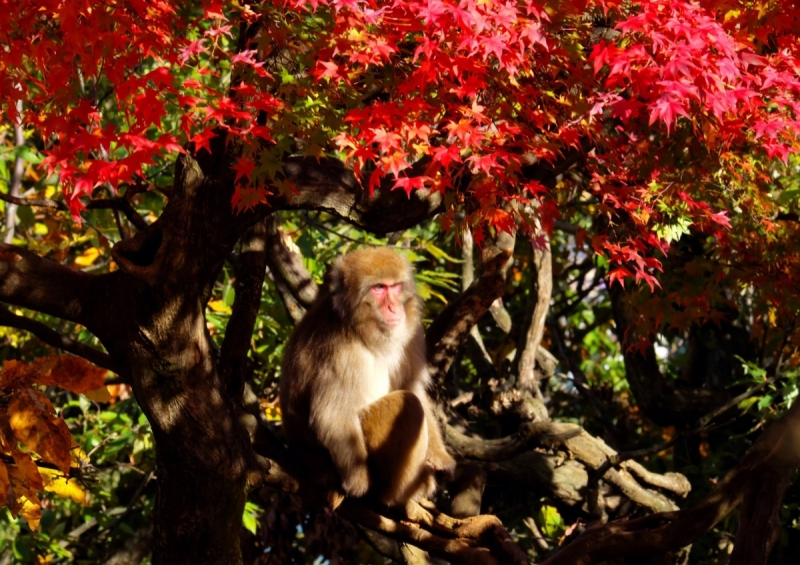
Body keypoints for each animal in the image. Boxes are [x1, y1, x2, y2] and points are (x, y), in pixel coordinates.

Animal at [280, 245, 456, 512]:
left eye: (394, 286)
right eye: (379, 288)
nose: (394, 308)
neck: (364, 330)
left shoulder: (412, 332)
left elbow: (413, 387)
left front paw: (440, 458)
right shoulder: (339, 349)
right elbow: (331, 414)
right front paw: (358, 482)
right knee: (406, 405)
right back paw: (400, 495)